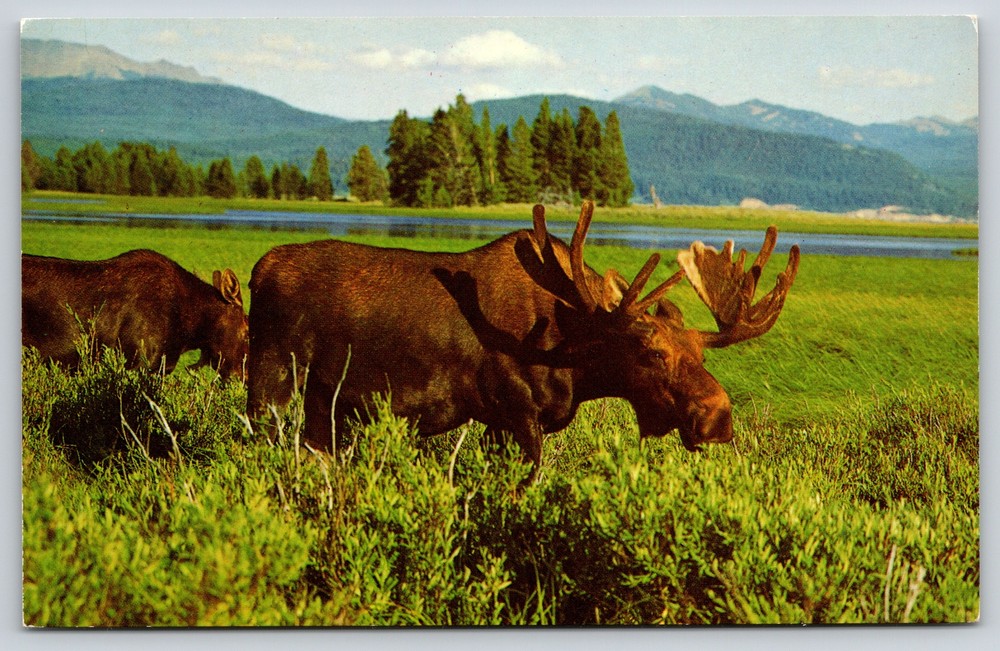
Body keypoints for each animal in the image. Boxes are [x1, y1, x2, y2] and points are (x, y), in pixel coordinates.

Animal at [246, 201, 799, 469]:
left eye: (701, 355)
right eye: (649, 351)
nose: (719, 417)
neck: (577, 362)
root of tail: (258, 270)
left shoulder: (497, 421)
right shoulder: (517, 411)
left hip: (323, 399)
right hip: (271, 379)